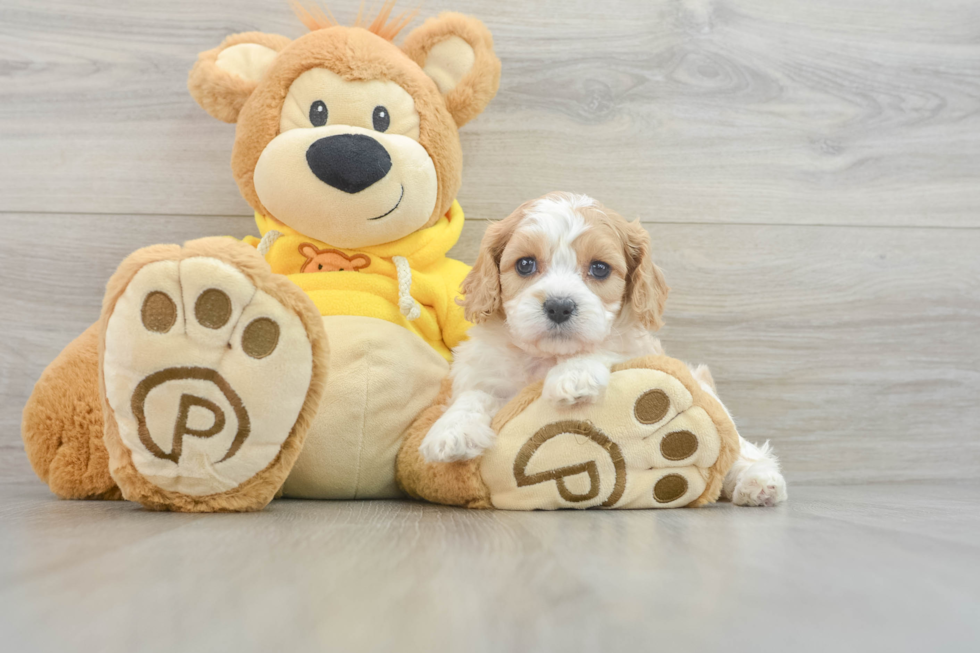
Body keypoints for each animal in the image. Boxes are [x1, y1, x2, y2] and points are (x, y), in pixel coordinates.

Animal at [422, 191, 788, 506]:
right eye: (525, 264)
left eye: (599, 268)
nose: (559, 306)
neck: (549, 357)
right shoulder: (486, 372)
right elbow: (474, 395)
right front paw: (451, 431)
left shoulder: (634, 346)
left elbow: (607, 346)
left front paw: (572, 376)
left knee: (741, 448)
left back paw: (758, 481)